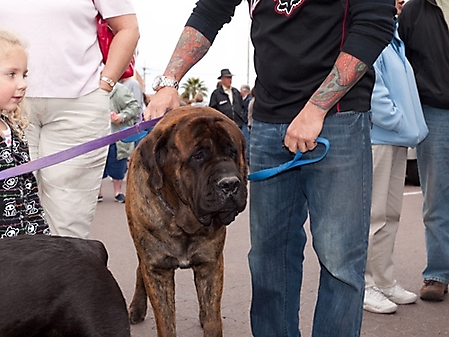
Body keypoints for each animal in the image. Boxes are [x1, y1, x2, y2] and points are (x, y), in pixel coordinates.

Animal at [124, 105, 247, 336]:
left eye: (232, 152)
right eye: (197, 156)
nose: (229, 184)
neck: (183, 222)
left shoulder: (211, 264)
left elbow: (213, 318)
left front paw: (208, 320)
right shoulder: (157, 269)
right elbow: (165, 322)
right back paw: (136, 308)